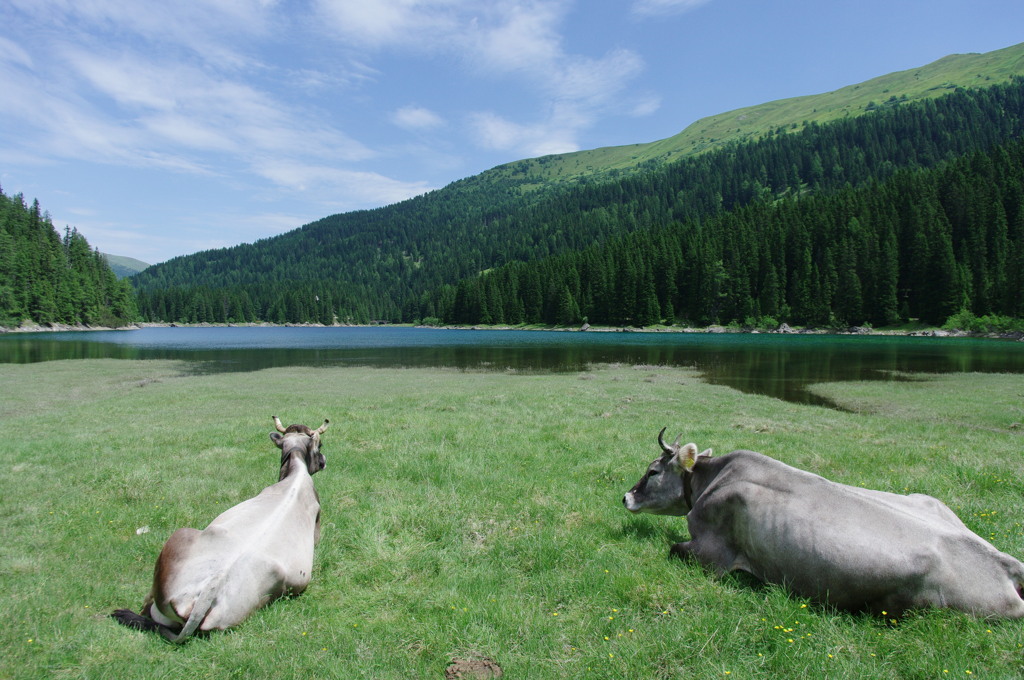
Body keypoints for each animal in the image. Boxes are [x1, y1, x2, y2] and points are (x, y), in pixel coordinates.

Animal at [618, 430, 1024, 614]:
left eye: (653, 471)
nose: (626, 497)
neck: (715, 479)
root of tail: (1005, 563)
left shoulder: (711, 554)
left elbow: (674, 548)